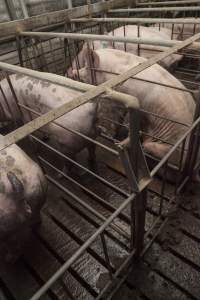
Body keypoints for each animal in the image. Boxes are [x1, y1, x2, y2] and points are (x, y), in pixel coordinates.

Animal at [72, 47, 199, 180]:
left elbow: (117, 118)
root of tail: (192, 170)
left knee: (151, 149)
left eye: (86, 69)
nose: (73, 72)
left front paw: (111, 136)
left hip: (166, 148)